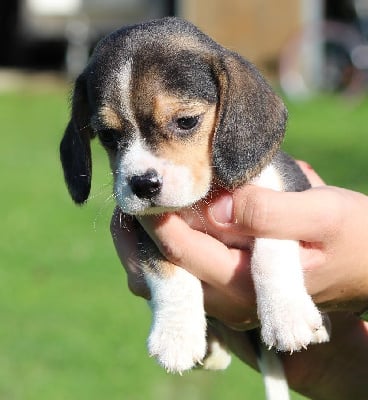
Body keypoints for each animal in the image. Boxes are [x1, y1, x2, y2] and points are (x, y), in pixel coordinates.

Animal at [60, 16, 330, 400]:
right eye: (109, 137)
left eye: (186, 121)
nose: (142, 184)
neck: (201, 199)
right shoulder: (145, 228)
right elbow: (169, 271)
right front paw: (176, 336)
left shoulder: (284, 188)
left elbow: (271, 246)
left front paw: (286, 315)